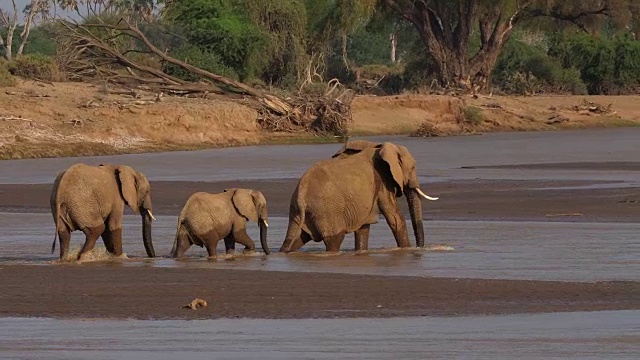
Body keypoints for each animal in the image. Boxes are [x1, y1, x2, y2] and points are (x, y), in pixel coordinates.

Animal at [278, 141, 438, 253]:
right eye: (412, 168)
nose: (419, 248)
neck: (379, 147)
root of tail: (302, 193)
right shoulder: (382, 182)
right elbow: (395, 219)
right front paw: (406, 250)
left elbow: (363, 227)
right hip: (327, 210)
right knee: (334, 239)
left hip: (299, 212)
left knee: (294, 239)